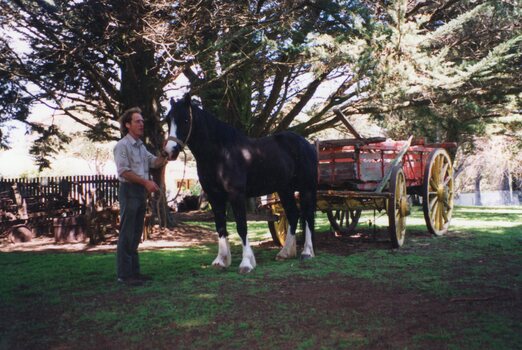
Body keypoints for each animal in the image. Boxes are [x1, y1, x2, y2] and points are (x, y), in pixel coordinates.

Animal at [162, 94, 316, 274]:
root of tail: (306, 144)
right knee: (293, 214)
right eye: (168, 120)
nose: (169, 151)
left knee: (307, 216)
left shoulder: (236, 195)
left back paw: (307, 252)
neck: (221, 154)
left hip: (306, 188)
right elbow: (220, 227)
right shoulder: (214, 196)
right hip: (285, 189)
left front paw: (246, 263)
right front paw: (221, 261)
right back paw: (285, 253)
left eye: (186, 120)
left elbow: (242, 226)